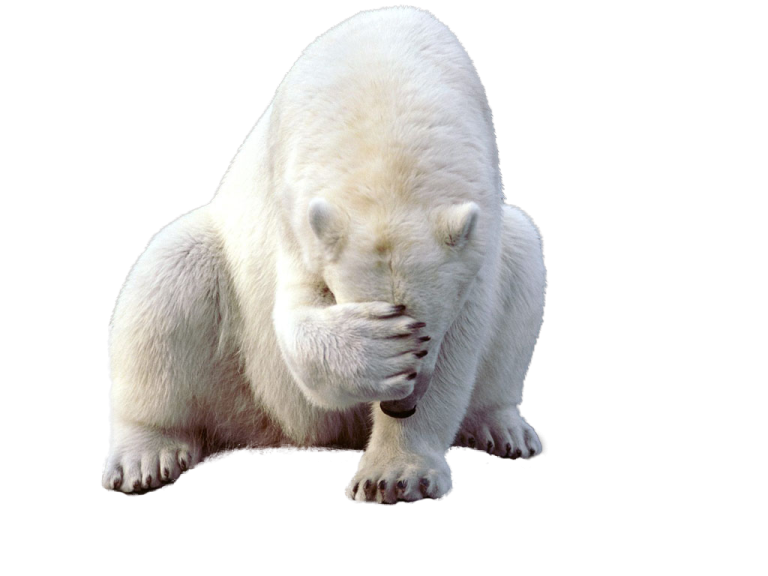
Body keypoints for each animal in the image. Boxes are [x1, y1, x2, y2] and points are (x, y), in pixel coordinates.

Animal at [102, 5, 547, 503]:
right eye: (402, 325)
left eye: (428, 331)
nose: (400, 406)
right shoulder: (294, 208)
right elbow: (294, 317)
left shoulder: (479, 228)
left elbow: (464, 337)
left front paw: (394, 476)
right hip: (233, 356)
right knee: (169, 276)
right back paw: (145, 455)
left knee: (524, 258)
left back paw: (502, 428)